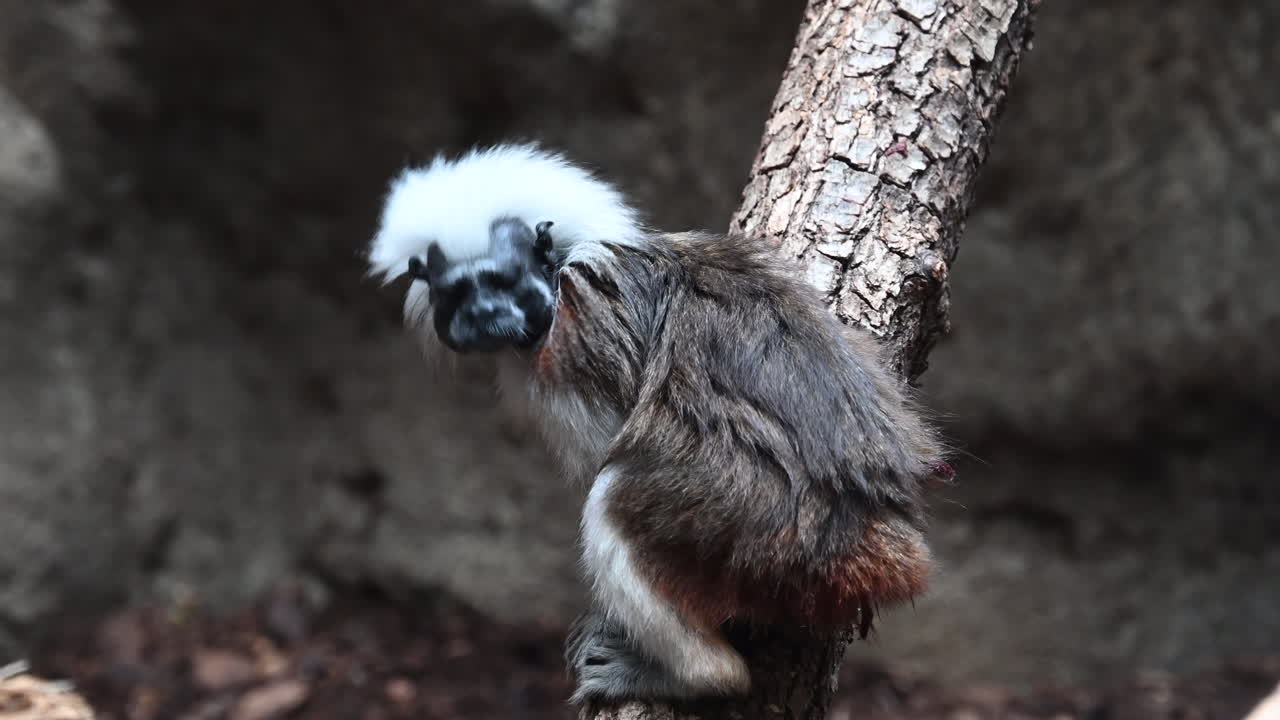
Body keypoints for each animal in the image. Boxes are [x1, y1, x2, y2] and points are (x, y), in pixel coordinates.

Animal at [367, 143, 946, 704]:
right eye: (458, 293)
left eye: (501, 282)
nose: (486, 314)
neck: (563, 269)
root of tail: (878, 540)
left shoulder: (580, 335)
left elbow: (609, 444)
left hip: (765, 533)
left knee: (616, 494)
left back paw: (698, 677)